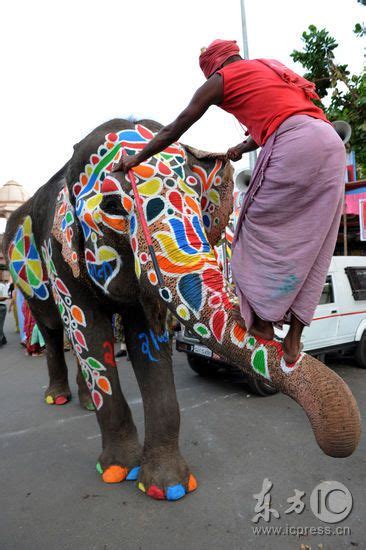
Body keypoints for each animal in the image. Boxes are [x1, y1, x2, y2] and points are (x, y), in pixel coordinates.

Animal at [4, 118, 362, 502]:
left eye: (197, 196)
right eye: (113, 207)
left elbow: (148, 342)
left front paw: (169, 487)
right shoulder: (58, 256)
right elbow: (91, 335)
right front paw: (117, 471)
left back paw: (84, 402)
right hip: (28, 278)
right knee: (55, 328)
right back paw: (58, 398)